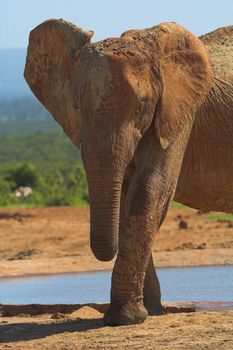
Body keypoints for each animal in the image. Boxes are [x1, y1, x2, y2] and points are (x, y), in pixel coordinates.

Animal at [24, 19, 232, 326]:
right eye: (76, 106)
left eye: (142, 106)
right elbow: (124, 196)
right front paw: (146, 312)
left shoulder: (179, 113)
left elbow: (150, 189)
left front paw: (127, 318)